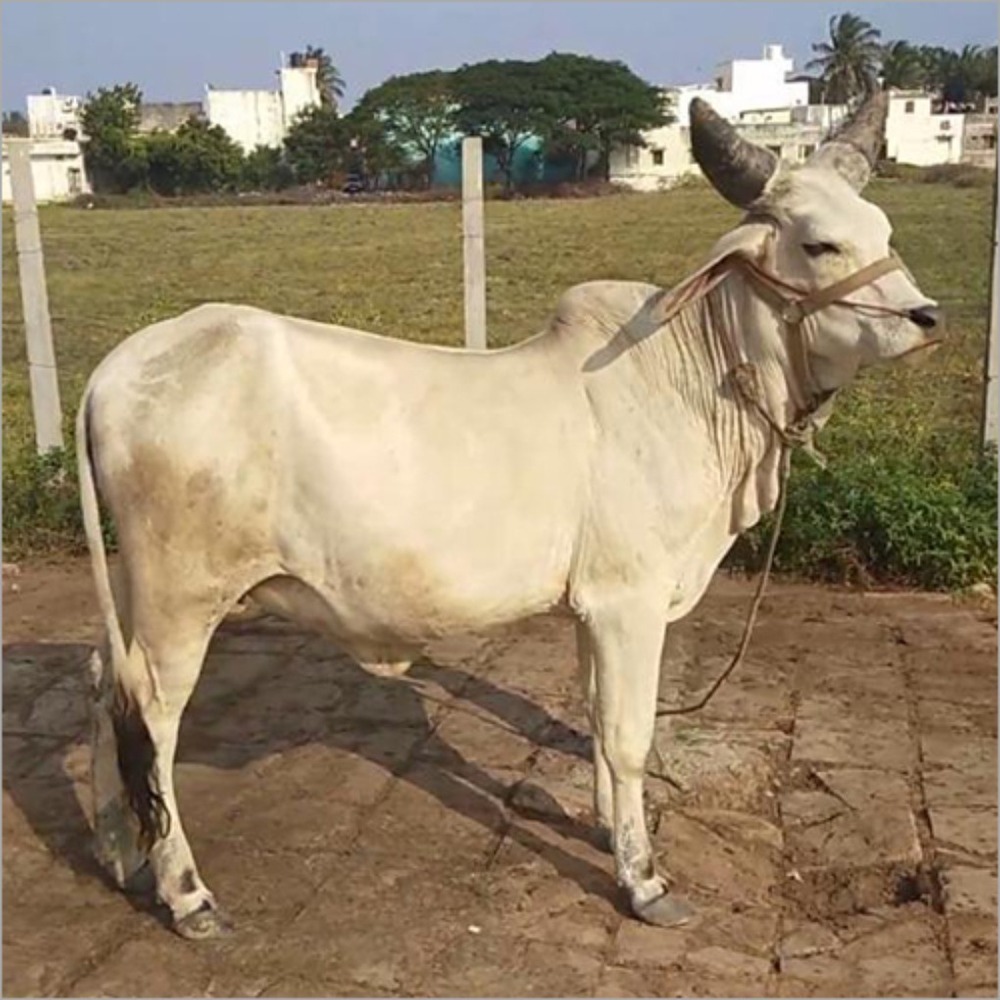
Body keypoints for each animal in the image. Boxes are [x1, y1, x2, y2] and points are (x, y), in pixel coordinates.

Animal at [77, 93, 941, 939]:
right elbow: (629, 738)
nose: (928, 318)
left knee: (104, 687)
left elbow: (594, 720)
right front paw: (644, 879)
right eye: (820, 244)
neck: (695, 376)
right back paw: (186, 892)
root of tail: (113, 371)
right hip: (181, 602)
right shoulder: (628, 603)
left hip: (135, 596)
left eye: (885, 233)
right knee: (152, 719)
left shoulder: (594, 608)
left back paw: (119, 851)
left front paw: (606, 828)